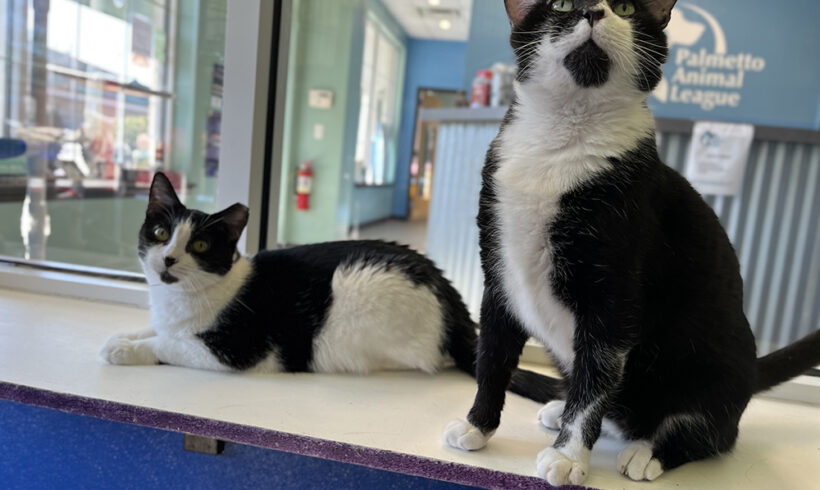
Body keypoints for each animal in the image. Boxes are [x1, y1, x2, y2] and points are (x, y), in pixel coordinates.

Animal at [101, 173, 564, 406]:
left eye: (198, 246)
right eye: (161, 233)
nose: (167, 259)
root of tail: (457, 309)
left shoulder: (239, 351)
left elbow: (169, 344)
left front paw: (127, 350)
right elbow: (155, 329)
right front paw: (122, 337)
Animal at [446, 0, 820, 482]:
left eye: (625, 7)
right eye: (561, 5)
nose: (593, 10)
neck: (562, 142)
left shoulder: (615, 292)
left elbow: (597, 375)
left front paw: (569, 455)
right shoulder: (498, 278)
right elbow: (491, 359)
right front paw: (477, 426)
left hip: (715, 368)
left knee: (710, 433)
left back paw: (650, 451)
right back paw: (562, 409)